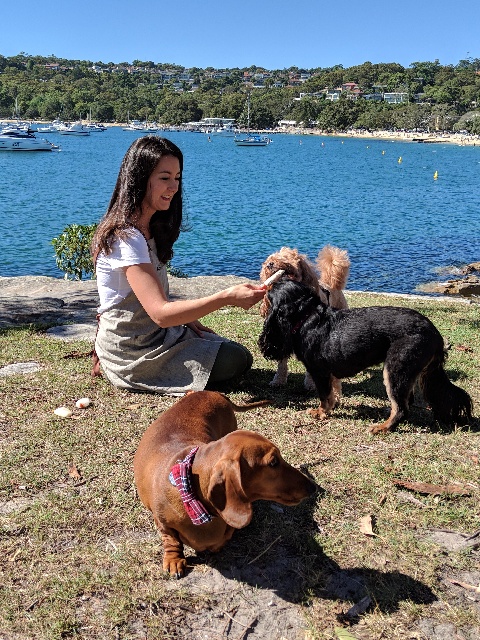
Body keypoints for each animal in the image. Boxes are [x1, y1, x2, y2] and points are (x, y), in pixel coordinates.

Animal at [133, 392, 316, 576]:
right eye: (273, 462)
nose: (312, 487)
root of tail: (213, 392)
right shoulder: (162, 522)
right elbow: (171, 540)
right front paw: (174, 560)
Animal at [258, 278, 472, 432]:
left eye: (270, 292)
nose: (265, 287)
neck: (306, 315)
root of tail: (435, 334)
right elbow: (333, 394)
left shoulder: (319, 372)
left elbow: (324, 396)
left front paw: (321, 413)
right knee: (406, 403)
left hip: (395, 368)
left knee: (402, 408)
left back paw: (382, 427)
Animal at [260, 248, 350, 392]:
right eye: (269, 260)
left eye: (285, 256)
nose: (270, 264)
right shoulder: (280, 337)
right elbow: (281, 364)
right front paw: (278, 381)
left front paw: (311, 384)